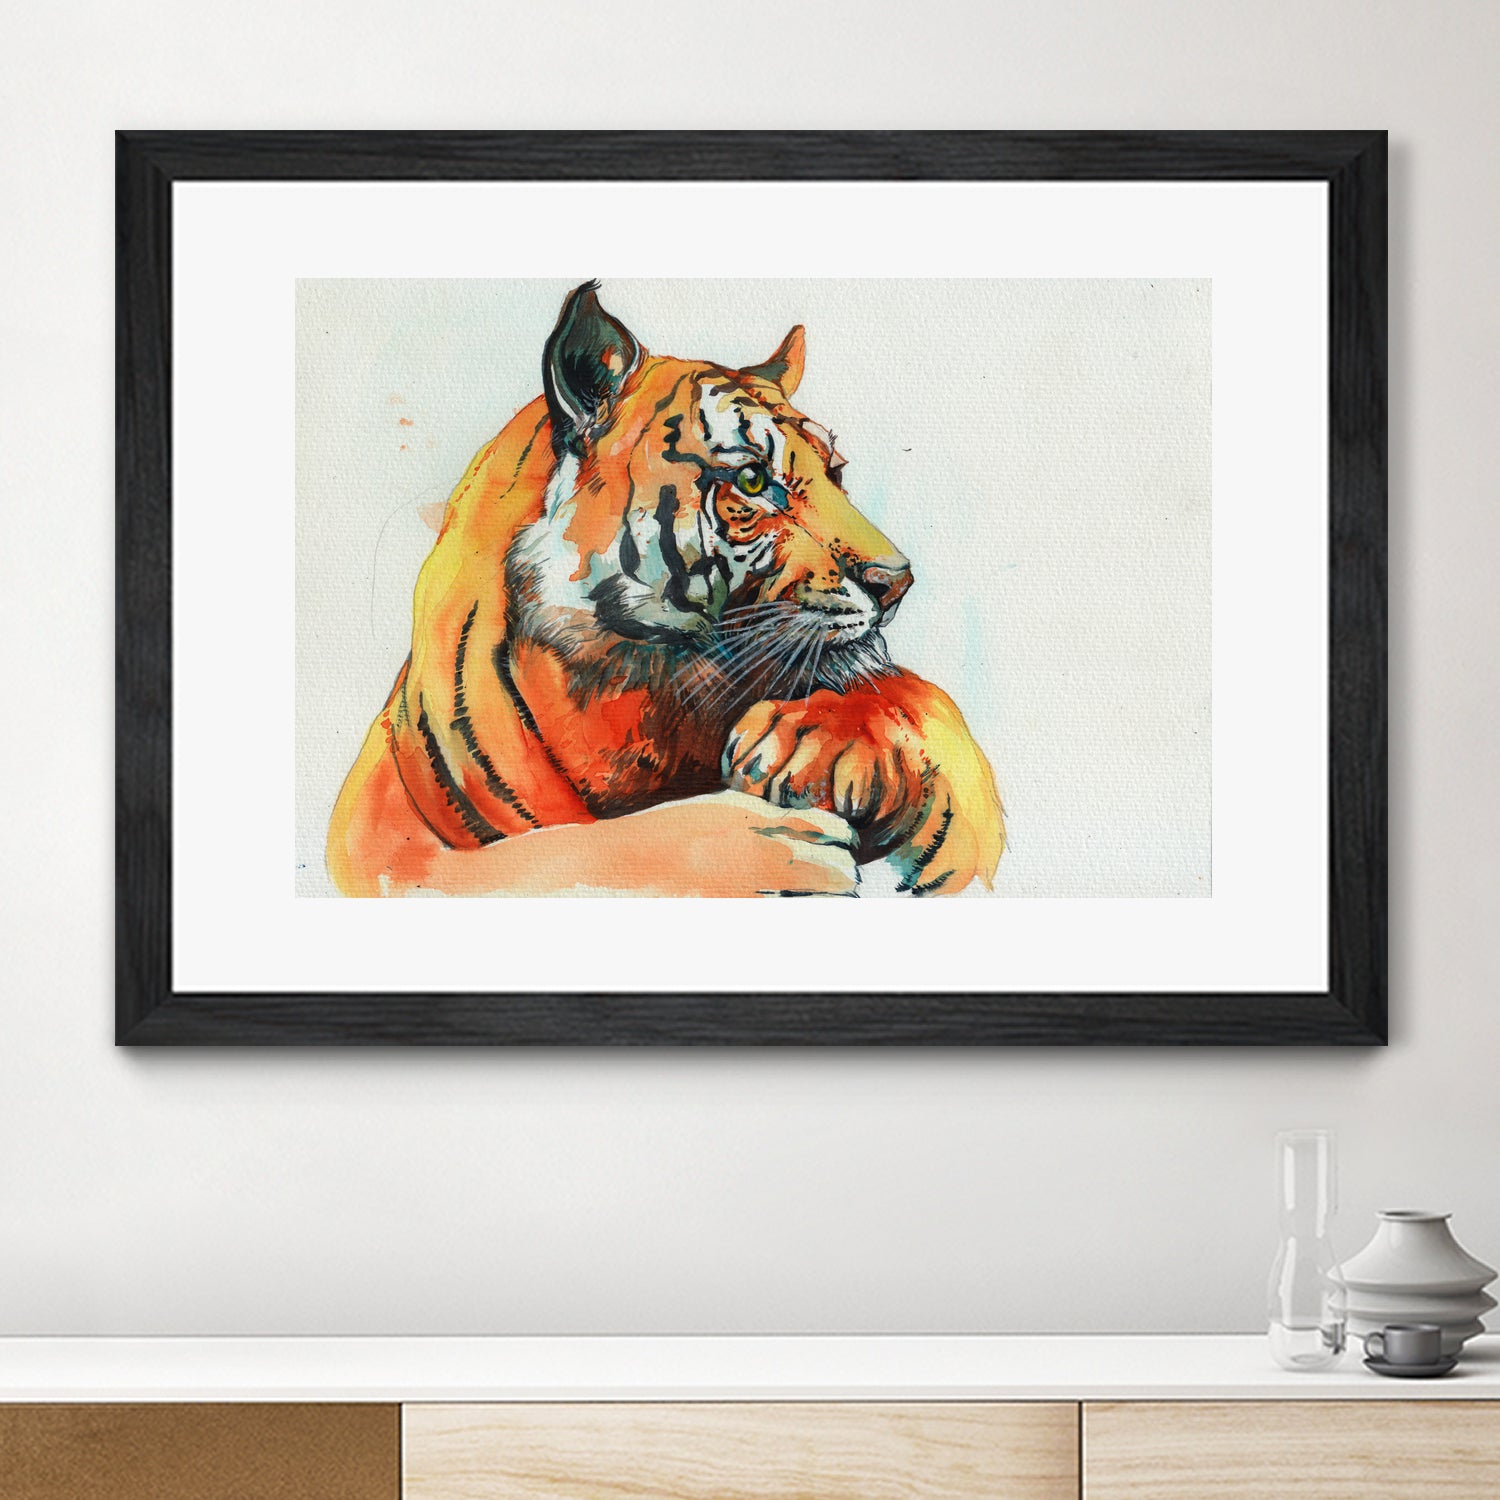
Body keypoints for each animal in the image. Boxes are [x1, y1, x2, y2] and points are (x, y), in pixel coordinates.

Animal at [326, 282, 1005, 897]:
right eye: (752, 480)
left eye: (835, 473)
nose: (897, 581)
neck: (643, 699)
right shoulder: (379, 847)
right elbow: (562, 856)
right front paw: (771, 854)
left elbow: (924, 708)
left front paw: (808, 743)